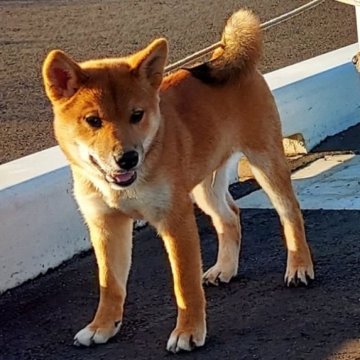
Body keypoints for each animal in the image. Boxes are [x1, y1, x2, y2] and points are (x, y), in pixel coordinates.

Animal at [42, 9, 314, 354]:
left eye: (137, 115)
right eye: (93, 120)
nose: (127, 158)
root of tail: (222, 56)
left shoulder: (176, 221)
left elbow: (184, 285)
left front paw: (188, 332)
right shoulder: (106, 225)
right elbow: (110, 284)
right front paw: (102, 326)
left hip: (265, 163)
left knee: (290, 213)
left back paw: (299, 266)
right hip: (204, 188)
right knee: (230, 217)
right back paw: (225, 268)